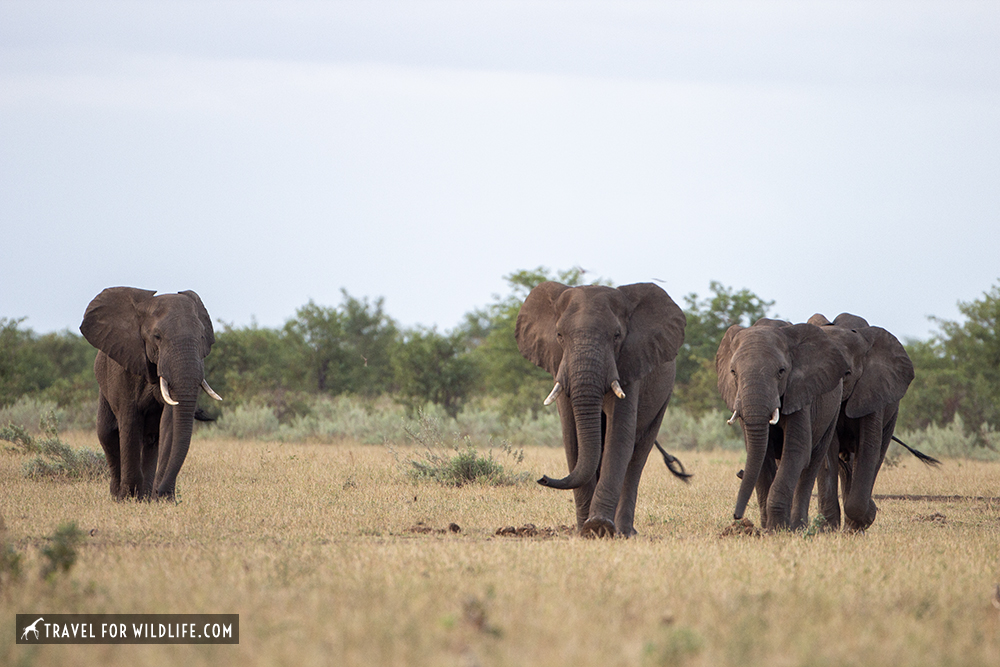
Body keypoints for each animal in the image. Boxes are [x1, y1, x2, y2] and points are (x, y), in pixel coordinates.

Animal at [81, 288, 223, 500]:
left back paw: (145, 495)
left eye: (202, 337)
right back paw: (118, 495)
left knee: (150, 439)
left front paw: (160, 499)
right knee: (107, 432)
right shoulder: (124, 370)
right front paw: (129, 498)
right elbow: (130, 422)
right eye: (157, 336)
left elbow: (169, 422)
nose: (162, 492)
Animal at [516, 280, 688, 536]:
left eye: (617, 336)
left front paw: (598, 526)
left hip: (664, 395)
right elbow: (572, 438)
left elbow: (620, 436)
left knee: (637, 455)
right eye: (559, 335)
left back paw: (624, 531)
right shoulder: (560, 365)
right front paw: (586, 530)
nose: (543, 478)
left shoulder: (630, 363)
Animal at [716, 320, 848, 532]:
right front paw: (766, 528)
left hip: (832, 410)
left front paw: (777, 529)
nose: (737, 516)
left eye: (781, 372)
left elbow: (796, 451)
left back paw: (798, 527)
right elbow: (761, 454)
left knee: (813, 463)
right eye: (733, 372)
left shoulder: (800, 393)